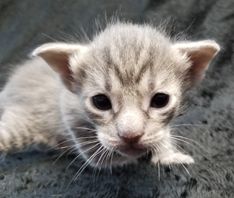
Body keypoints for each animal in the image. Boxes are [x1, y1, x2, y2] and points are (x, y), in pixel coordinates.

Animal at [0, 22, 219, 167]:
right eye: (101, 102)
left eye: (160, 100)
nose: (131, 136)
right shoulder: (71, 117)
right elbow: (110, 157)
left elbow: (160, 135)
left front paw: (167, 155)